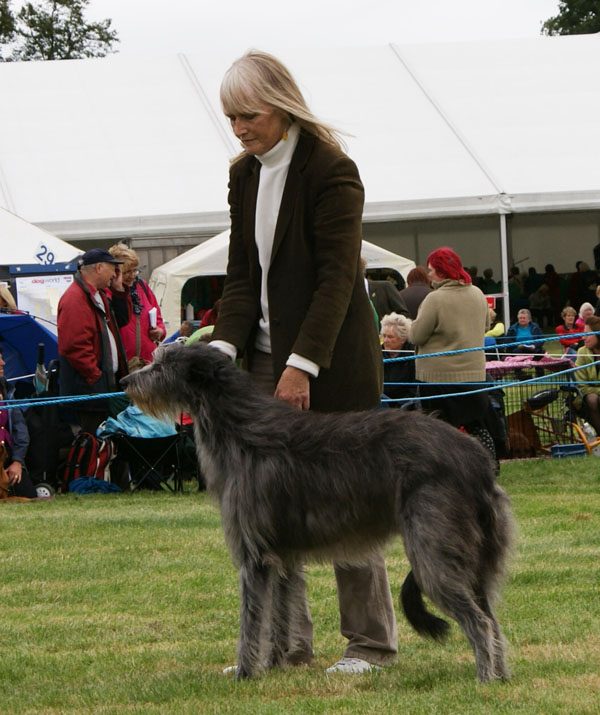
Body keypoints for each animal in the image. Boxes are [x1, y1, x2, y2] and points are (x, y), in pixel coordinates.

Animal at [122, 344, 516, 684]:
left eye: (160, 365)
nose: (126, 381)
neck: (240, 430)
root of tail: (477, 460)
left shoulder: (255, 556)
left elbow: (252, 619)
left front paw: (245, 673)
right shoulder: (283, 554)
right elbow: (279, 617)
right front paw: (274, 664)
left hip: (432, 551)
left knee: (479, 622)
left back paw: (484, 679)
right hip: (474, 557)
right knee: (493, 619)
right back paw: (501, 677)